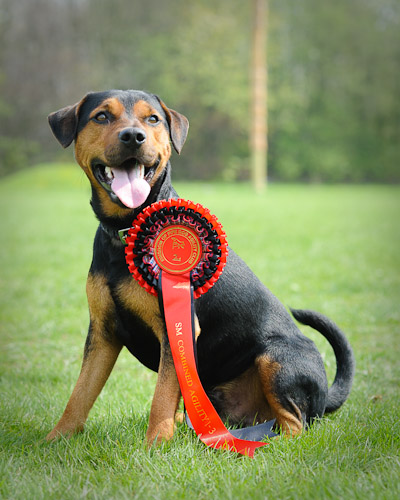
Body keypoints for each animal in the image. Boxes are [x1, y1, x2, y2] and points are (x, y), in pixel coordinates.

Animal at [45, 90, 354, 446]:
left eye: (153, 119)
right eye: (101, 117)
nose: (133, 136)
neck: (128, 230)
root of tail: (325, 395)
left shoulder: (175, 329)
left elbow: (161, 397)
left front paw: (154, 446)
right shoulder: (102, 331)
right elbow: (81, 392)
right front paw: (57, 439)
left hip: (276, 358)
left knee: (295, 425)